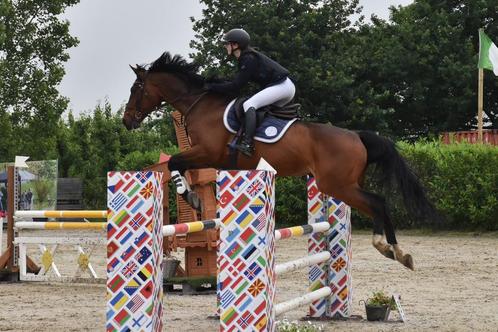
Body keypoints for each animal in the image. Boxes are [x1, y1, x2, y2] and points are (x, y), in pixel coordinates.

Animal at [122, 52, 438, 270]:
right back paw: (396, 251)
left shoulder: (207, 153)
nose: (126, 121)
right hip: (345, 184)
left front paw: (192, 197)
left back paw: (389, 248)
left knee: (377, 202)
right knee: (377, 203)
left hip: (337, 184)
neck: (200, 104)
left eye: (136, 88)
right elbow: (180, 166)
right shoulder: (209, 159)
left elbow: (174, 163)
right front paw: (194, 197)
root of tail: (356, 136)